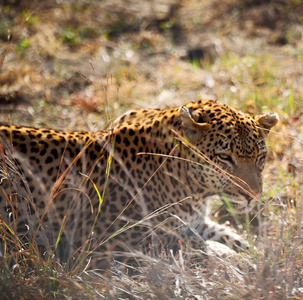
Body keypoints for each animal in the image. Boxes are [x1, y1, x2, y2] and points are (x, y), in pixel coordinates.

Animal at [0, 99, 280, 266]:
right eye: (224, 158)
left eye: (260, 157)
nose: (253, 195)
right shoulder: (112, 241)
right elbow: (190, 245)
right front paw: (231, 258)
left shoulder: (193, 222)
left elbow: (227, 234)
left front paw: (255, 253)